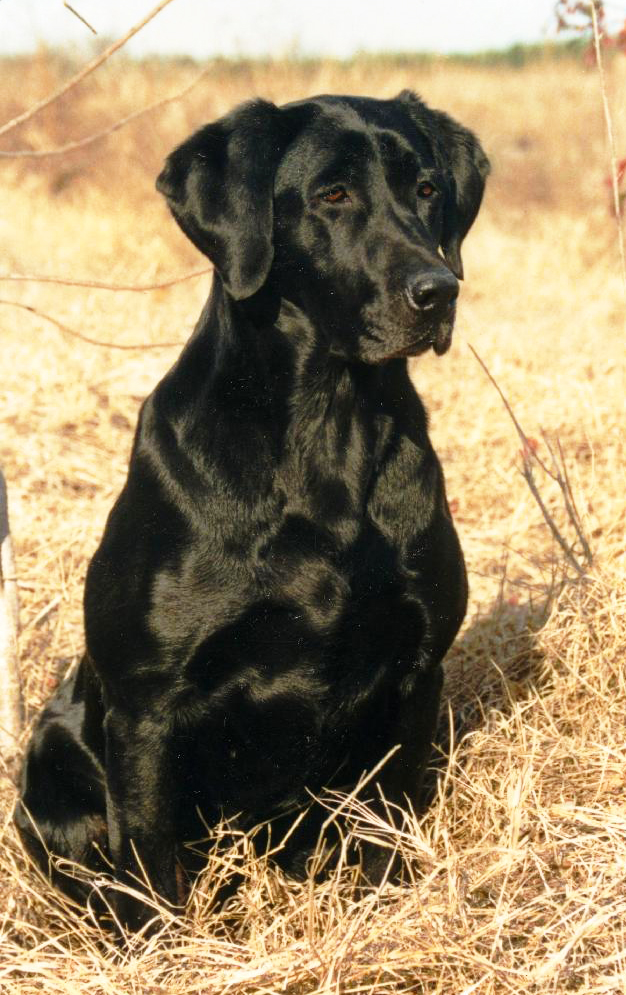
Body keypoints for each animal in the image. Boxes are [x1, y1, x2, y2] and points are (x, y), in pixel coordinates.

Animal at [13, 89, 482, 928]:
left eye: (428, 188)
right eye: (333, 194)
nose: (438, 291)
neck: (330, 427)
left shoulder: (417, 669)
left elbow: (388, 828)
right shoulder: (145, 705)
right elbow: (149, 867)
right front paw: (165, 946)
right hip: (54, 746)